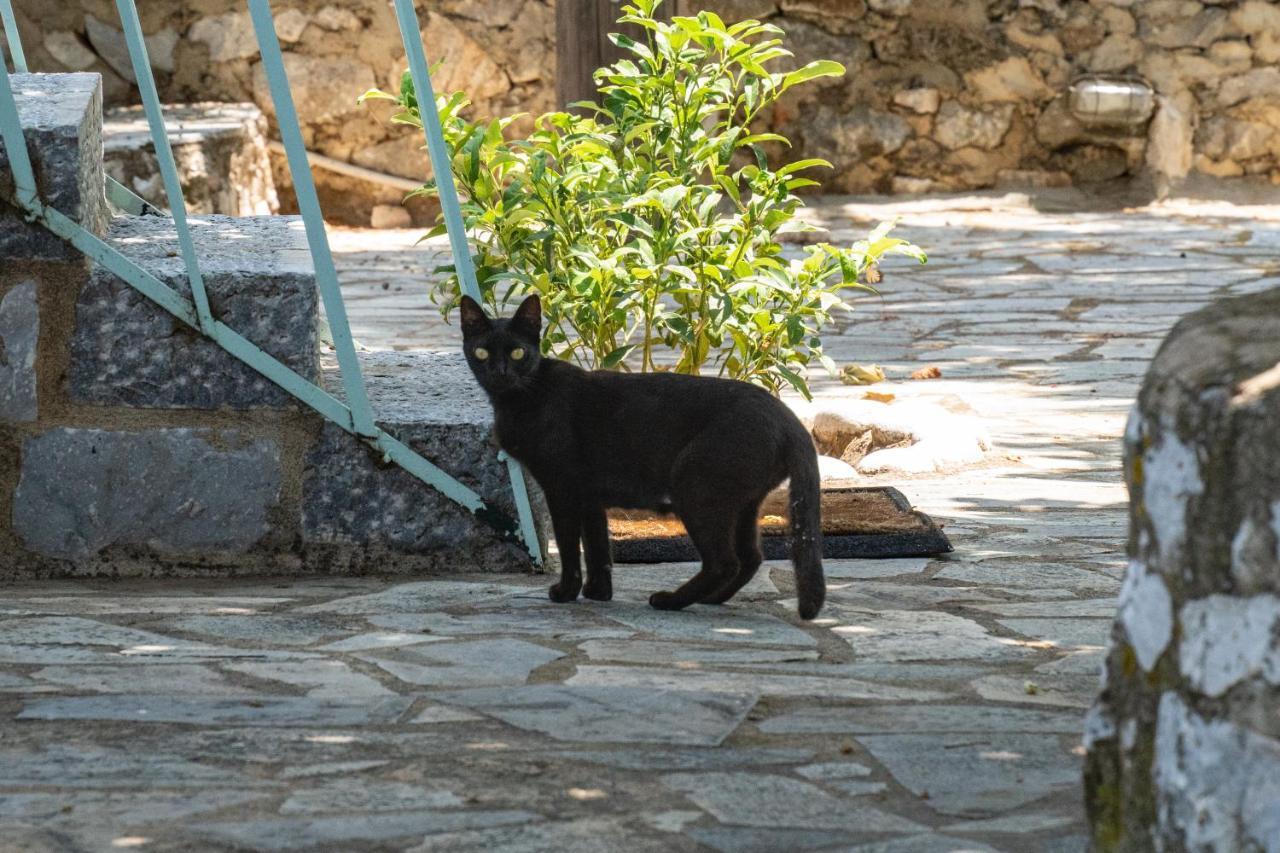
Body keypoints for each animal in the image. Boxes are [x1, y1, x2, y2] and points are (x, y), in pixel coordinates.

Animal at [460, 294, 829, 617]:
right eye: (481, 352)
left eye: (517, 352)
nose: (500, 371)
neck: (522, 397)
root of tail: (789, 420)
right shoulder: (588, 494)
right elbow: (597, 545)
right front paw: (598, 592)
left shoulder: (562, 488)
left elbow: (569, 545)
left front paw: (565, 592)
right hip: (742, 502)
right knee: (751, 557)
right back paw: (711, 599)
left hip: (696, 487)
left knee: (724, 561)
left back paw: (671, 600)